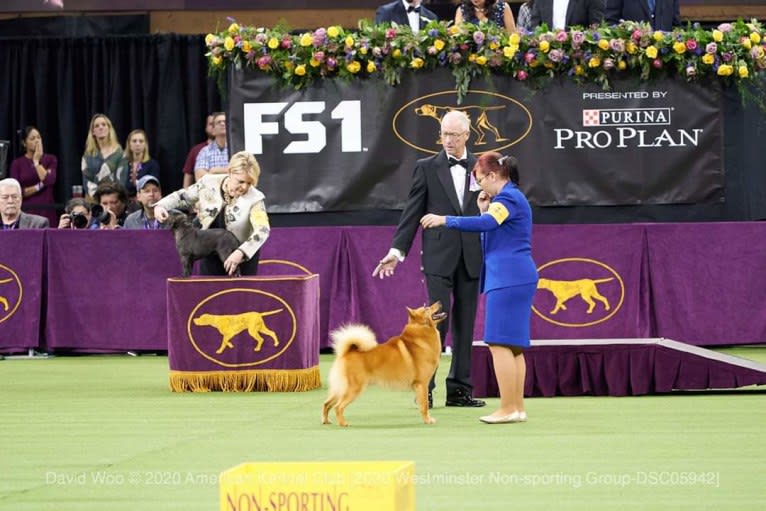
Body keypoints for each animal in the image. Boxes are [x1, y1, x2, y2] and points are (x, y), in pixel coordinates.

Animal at [320, 300, 448, 428]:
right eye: (426, 308)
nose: (439, 302)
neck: (421, 332)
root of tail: (347, 352)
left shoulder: (420, 386)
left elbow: (422, 404)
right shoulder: (422, 384)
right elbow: (424, 405)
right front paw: (428, 420)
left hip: (340, 388)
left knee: (327, 403)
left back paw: (326, 421)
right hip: (354, 388)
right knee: (338, 406)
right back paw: (343, 423)